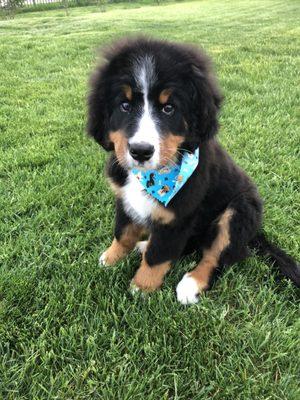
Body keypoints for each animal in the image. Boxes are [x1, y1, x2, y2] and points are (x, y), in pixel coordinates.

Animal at [86, 38, 298, 306]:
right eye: (124, 106)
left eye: (168, 108)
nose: (141, 151)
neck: (153, 177)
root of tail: (255, 233)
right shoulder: (125, 199)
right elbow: (123, 233)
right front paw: (111, 258)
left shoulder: (178, 217)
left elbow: (159, 256)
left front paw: (142, 287)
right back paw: (143, 245)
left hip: (238, 211)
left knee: (219, 256)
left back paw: (191, 284)